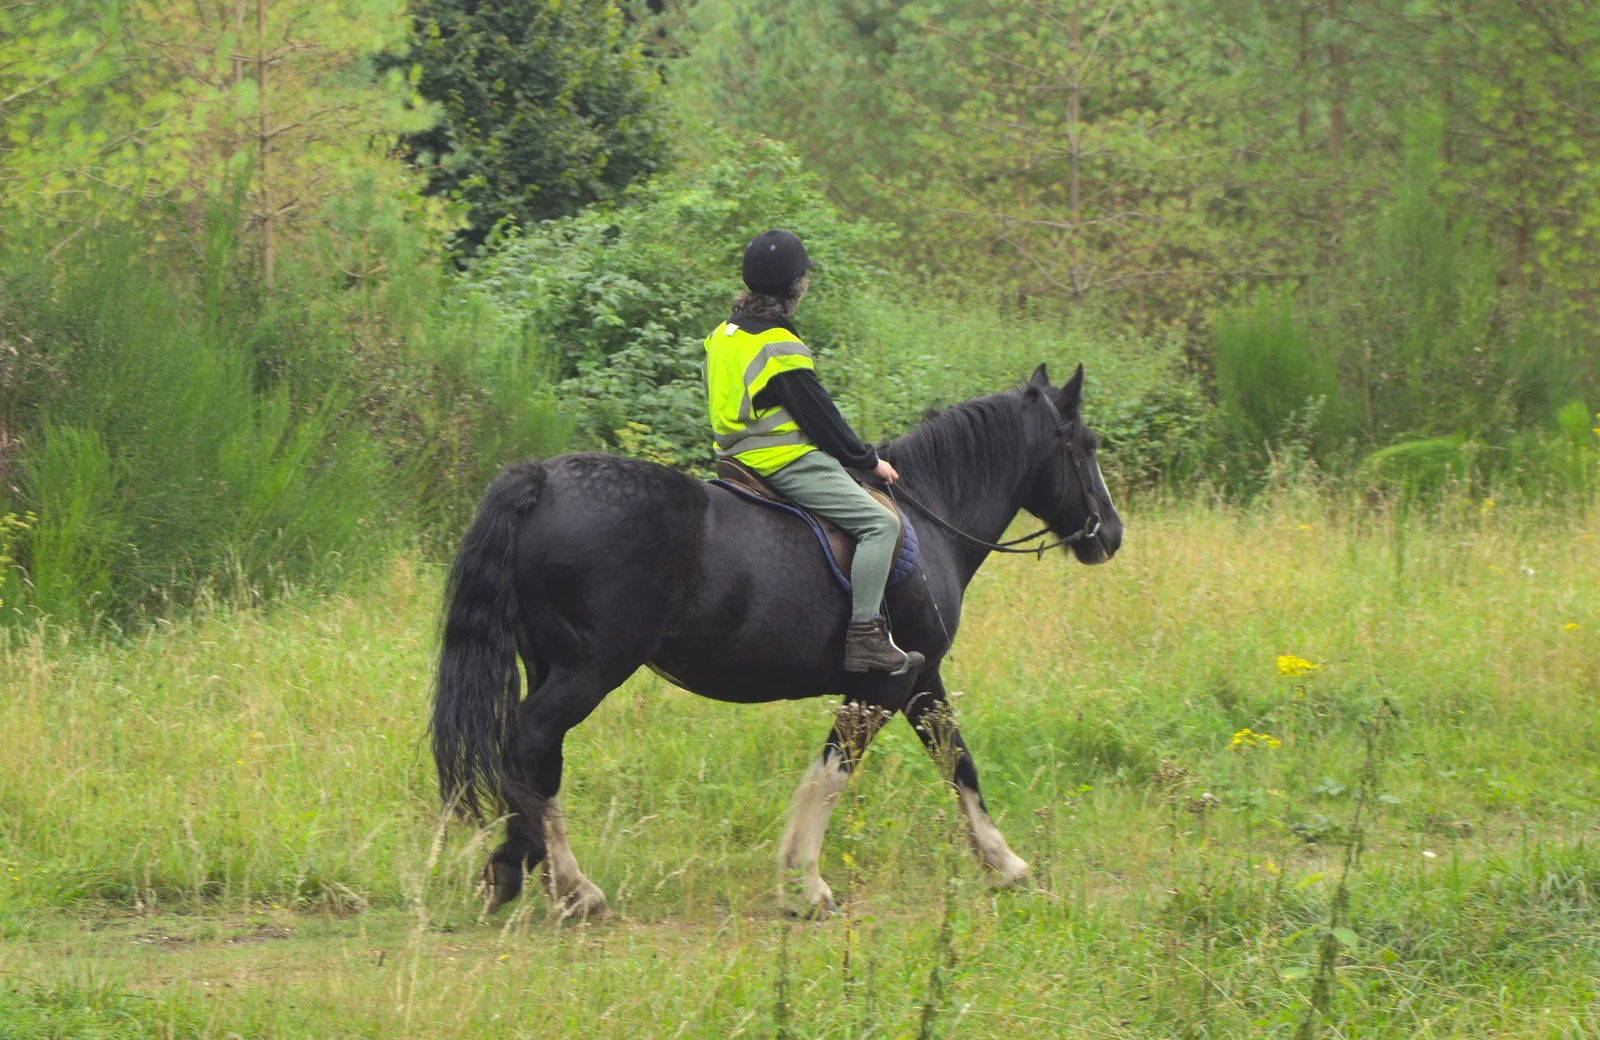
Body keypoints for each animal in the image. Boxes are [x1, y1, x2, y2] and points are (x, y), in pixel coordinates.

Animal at [432, 360, 1120, 908]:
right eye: (1085, 444)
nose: (1110, 535)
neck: (931, 519)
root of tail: (542, 480)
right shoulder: (884, 686)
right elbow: (834, 773)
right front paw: (805, 884)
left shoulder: (922, 678)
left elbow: (957, 762)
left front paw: (1005, 864)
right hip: (587, 671)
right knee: (528, 740)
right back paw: (551, 879)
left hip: (551, 666)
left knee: (539, 756)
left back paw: (552, 876)